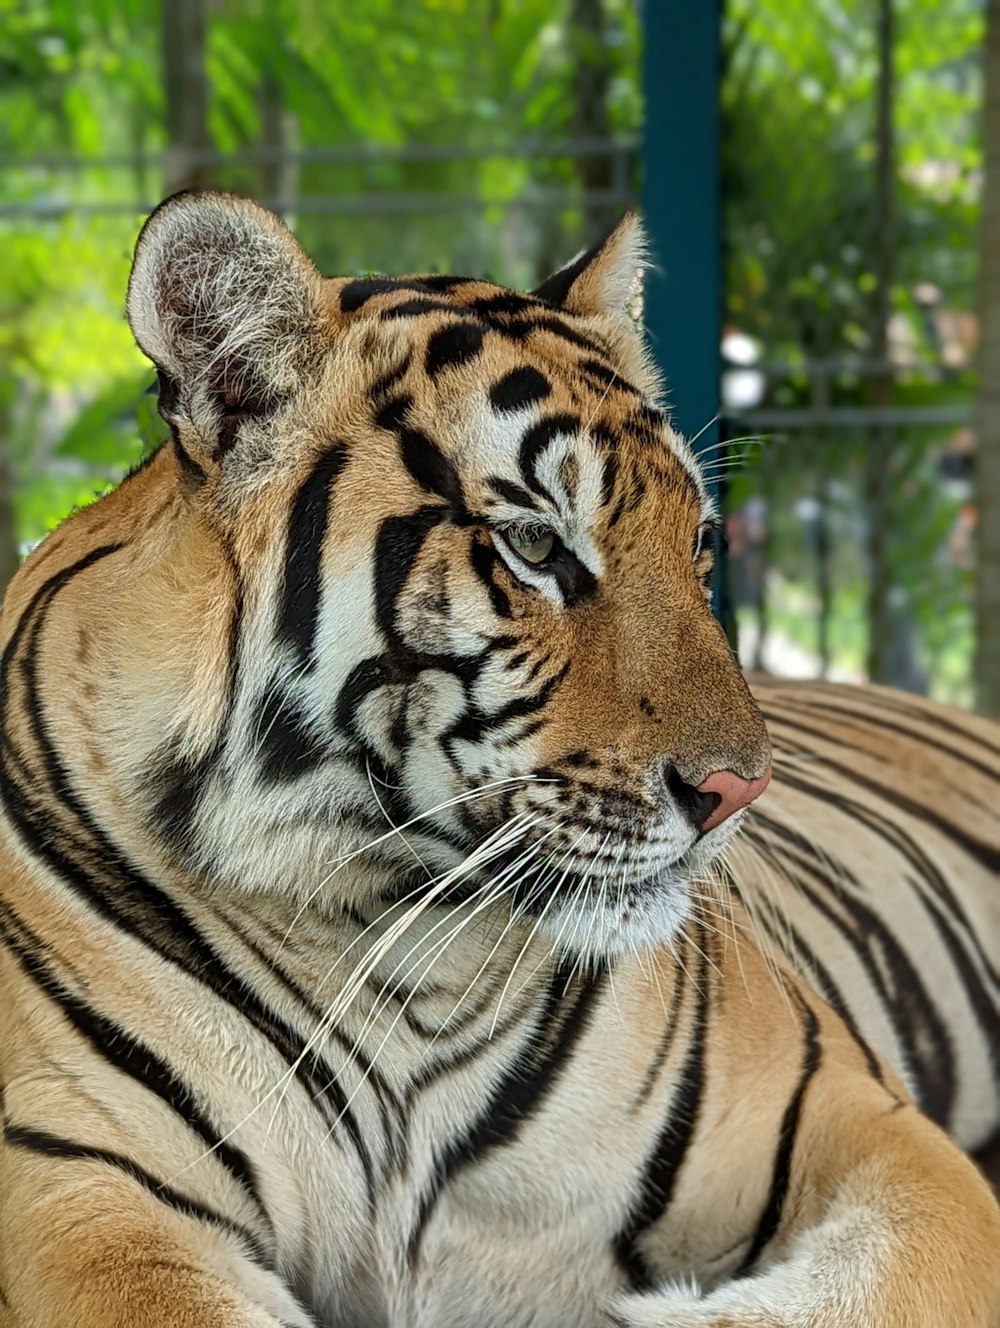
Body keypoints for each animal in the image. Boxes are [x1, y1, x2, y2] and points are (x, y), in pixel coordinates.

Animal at [0, 189, 993, 1328]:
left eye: (699, 544)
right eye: (535, 546)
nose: (739, 789)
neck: (398, 942)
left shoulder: (877, 1131)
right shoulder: (84, 1187)